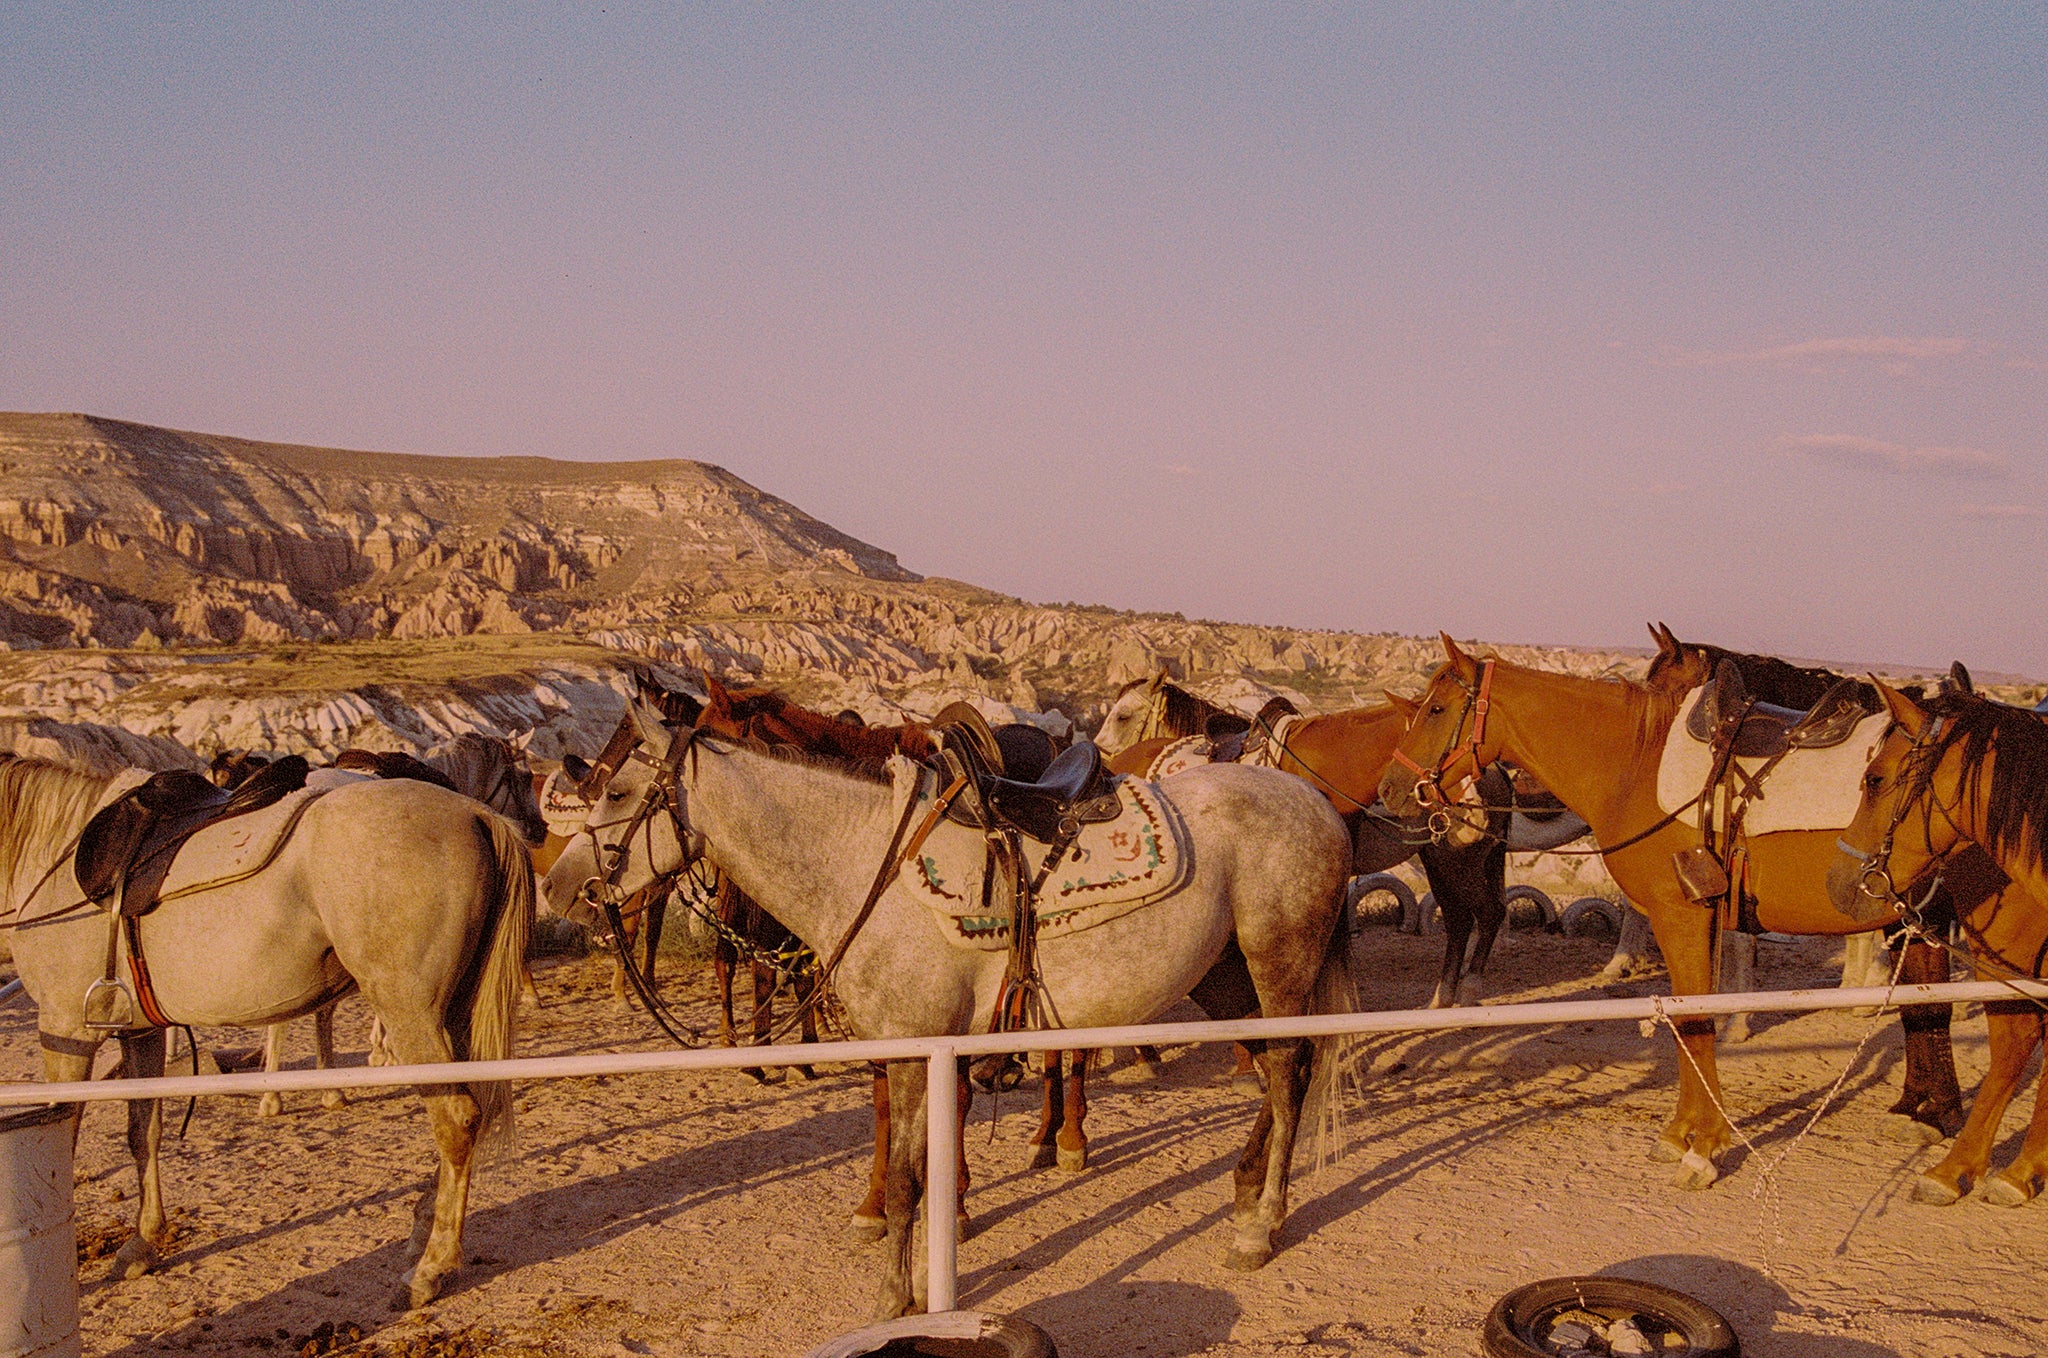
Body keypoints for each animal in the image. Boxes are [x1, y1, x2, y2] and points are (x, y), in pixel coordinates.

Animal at [4, 753, 532, 1310]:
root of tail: (477, 814)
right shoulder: (139, 1034)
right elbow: (143, 1135)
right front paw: (142, 1244)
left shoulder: (64, 1028)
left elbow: (66, 1141)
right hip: (455, 1014)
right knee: (474, 1111)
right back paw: (420, 1234)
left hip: (411, 1012)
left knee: (455, 1119)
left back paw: (430, 1268)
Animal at [548, 704, 1359, 1319]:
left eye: (619, 793)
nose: (559, 889)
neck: (864, 862)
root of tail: (1315, 804)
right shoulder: (914, 1051)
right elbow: (918, 1168)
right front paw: (917, 1277)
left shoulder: (918, 1047)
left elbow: (909, 1180)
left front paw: (893, 1297)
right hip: (1228, 978)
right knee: (1272, 1071)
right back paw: (1246, 1194)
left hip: (1278, 962)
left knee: (1290, 1072)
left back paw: (1261, 1228)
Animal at [1384, 630, 2007, 1187]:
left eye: (1436, 708)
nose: (1391, 790)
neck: (1633, 761)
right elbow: (1691, 1016)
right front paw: (1681, 1134)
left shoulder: (1682, 914)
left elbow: (1694, 1018)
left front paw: (1702, 1146)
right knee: (1943, 1012)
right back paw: (1938, 1121)